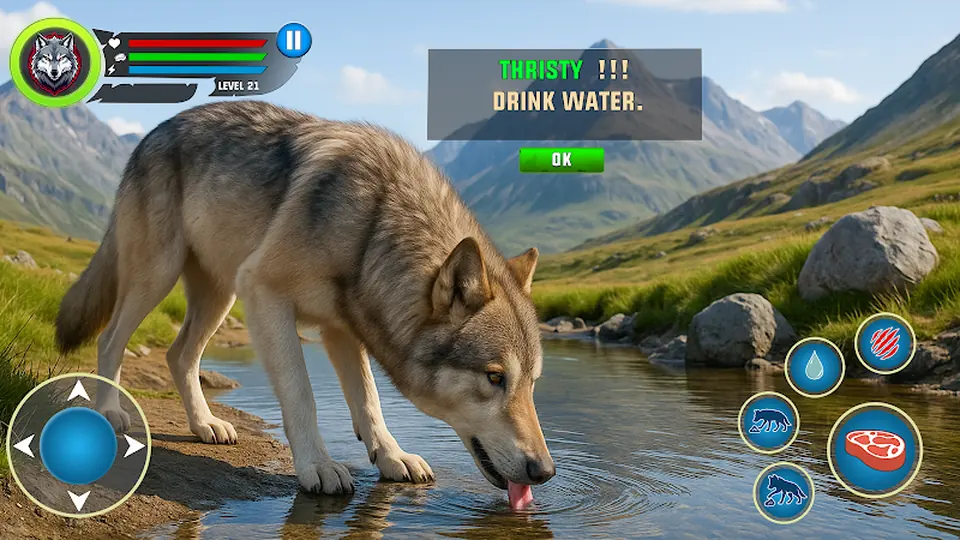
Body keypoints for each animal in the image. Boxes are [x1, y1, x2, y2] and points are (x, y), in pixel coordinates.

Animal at [55, 101, 556, 496]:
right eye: (495, 378)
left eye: (533, 384)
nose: (546, 471)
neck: (372, 229)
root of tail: (154, 131)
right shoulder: (265, 295)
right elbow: (302, 393)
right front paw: (318, 465)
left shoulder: (341, 329)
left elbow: (369, 401)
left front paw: (392, 457)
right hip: (159, 277)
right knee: (110, 339)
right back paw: (109, 412)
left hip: (219, 295)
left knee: (180, 355)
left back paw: (205, 425)